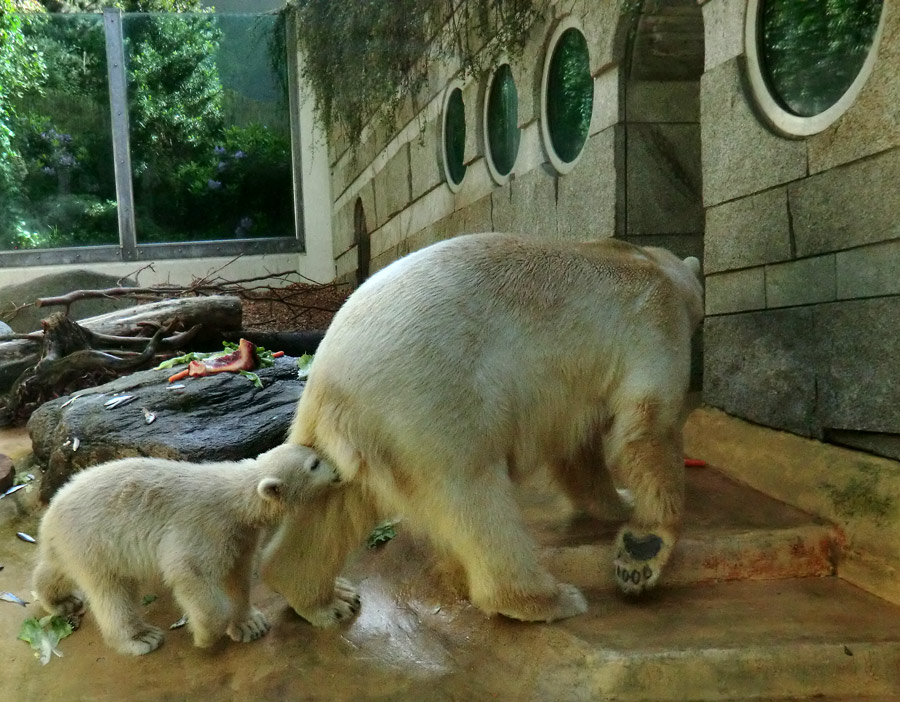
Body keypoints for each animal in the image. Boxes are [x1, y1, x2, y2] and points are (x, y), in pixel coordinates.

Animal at [260, 234, 704, 624]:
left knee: (336, 503)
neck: (648, 260)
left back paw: (321, 595)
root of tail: (328, 373)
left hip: (355, 432)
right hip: (433, 399)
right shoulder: (655, 319)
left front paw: (619, 502)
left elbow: (579, 446)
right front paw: (643, 546)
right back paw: (546, 599)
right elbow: (647, 428)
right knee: (474, 495)